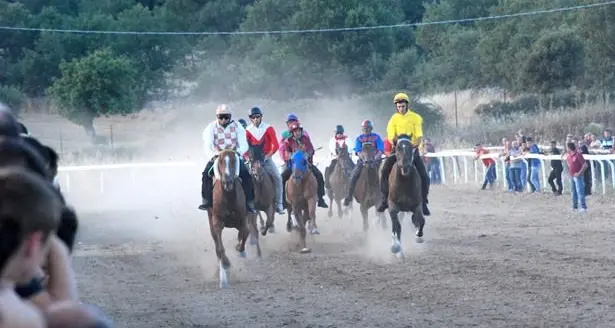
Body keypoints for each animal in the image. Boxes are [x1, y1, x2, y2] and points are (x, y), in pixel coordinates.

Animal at [208, 149, 254, 288]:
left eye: (234, 161)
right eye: (221, 161)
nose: (227, 181)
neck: (228, 197)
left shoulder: (244, 218)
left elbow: (245, 233)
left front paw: (239, 248)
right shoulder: (217, 220)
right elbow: (220, 245)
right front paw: (226, 263)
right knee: (216, 241)